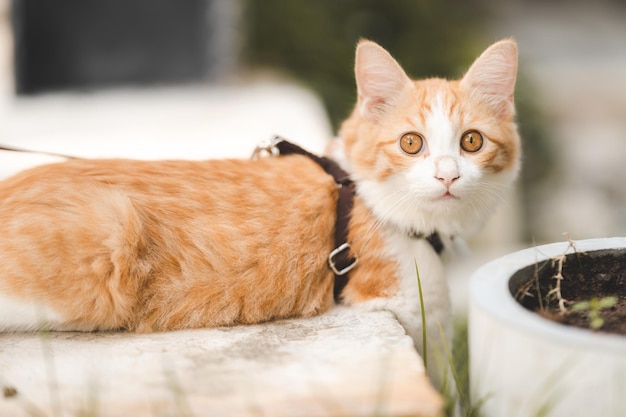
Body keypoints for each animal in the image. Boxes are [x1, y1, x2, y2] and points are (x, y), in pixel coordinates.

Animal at [0, 40, 516, 386]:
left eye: (472, 141)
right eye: (412, 143)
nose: (447, 175)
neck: (357, 189)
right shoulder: (409, 301)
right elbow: (444, 370)